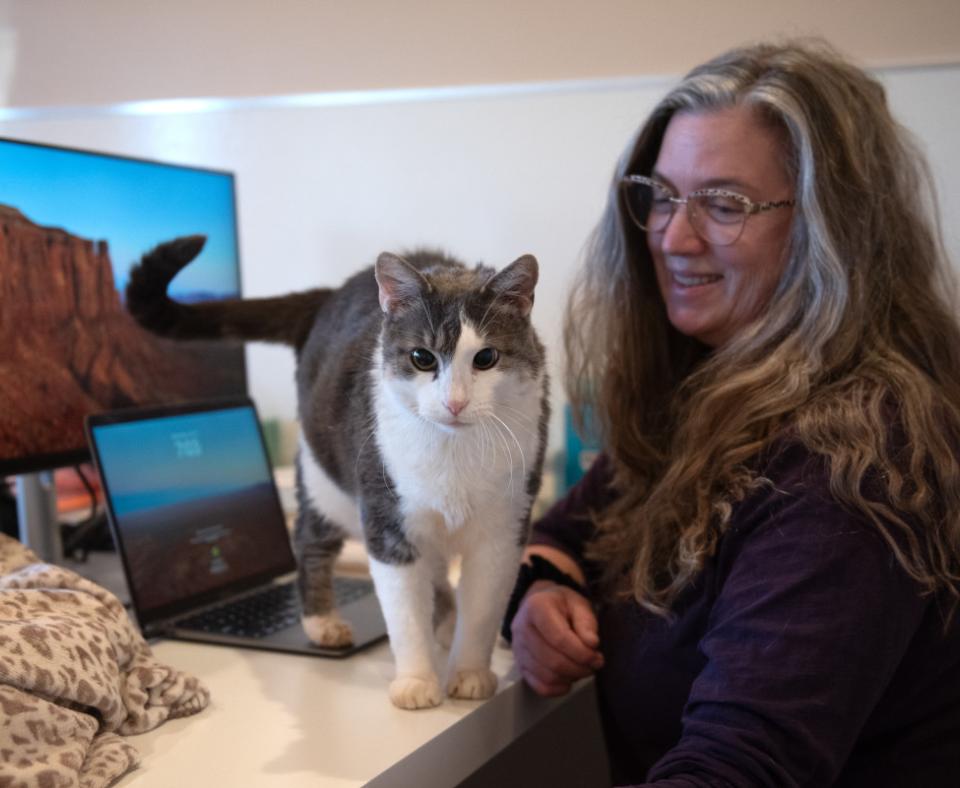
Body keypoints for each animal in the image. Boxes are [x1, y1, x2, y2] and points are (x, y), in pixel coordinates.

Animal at [125, 237, 548, 712]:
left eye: (486, 358)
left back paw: (444, 620)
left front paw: (470, 672)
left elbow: (482, 609)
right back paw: (323, 621)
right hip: (326, 480)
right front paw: (417, 680)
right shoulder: (385, 519)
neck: (453, 451)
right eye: (422, 358)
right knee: (310, 540)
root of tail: (330, 294)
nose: (454, 403)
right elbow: (404, 611)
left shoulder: (503, 529)